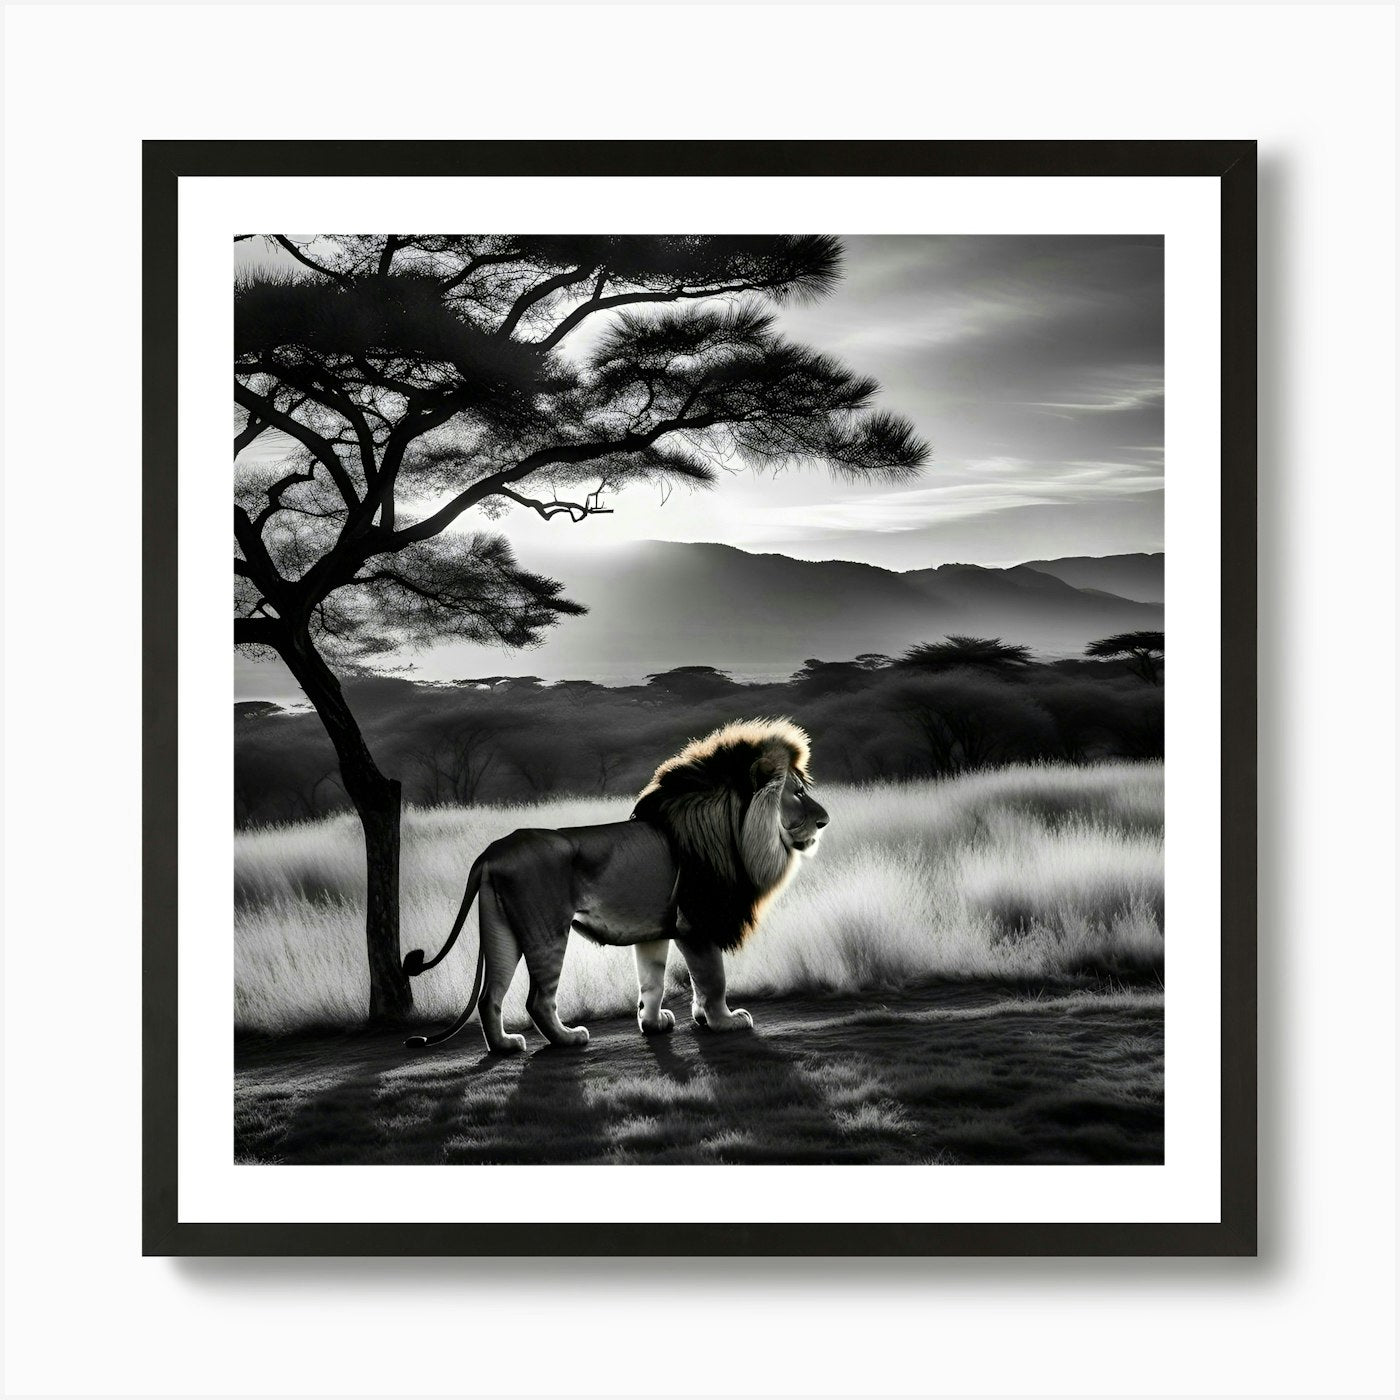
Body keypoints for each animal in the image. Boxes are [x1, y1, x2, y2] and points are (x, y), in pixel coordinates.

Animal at [403, 718, 828, 1053]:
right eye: (798, 793)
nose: (825, 821)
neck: (734, 831)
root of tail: (492, 851)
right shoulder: (696, 922)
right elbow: (712, 978)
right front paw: (724, 1021)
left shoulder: (657, 930)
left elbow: (652, 982)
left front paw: (656, 1023)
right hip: (546, 931)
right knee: (537, 1000)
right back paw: (568, 1038)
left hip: (501, 931)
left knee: (490, 996)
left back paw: (505, 1047)